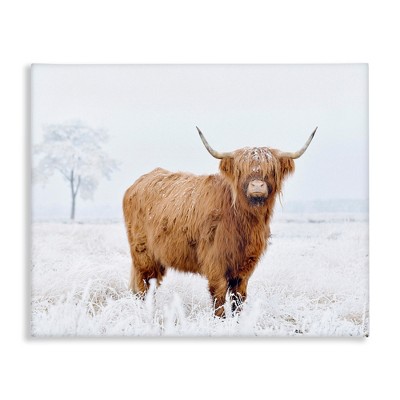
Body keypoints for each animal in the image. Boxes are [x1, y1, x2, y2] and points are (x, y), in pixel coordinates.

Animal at [123, 127, 317, 317]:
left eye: (271, 170)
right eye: (241, 170)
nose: (257, 186)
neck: (243, 221)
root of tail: (138, 183)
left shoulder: (245, 265)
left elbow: (239, 297)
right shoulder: (215, 261)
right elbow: (219, 296)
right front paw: (220, 320)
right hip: (143, 253)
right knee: (144, 286)